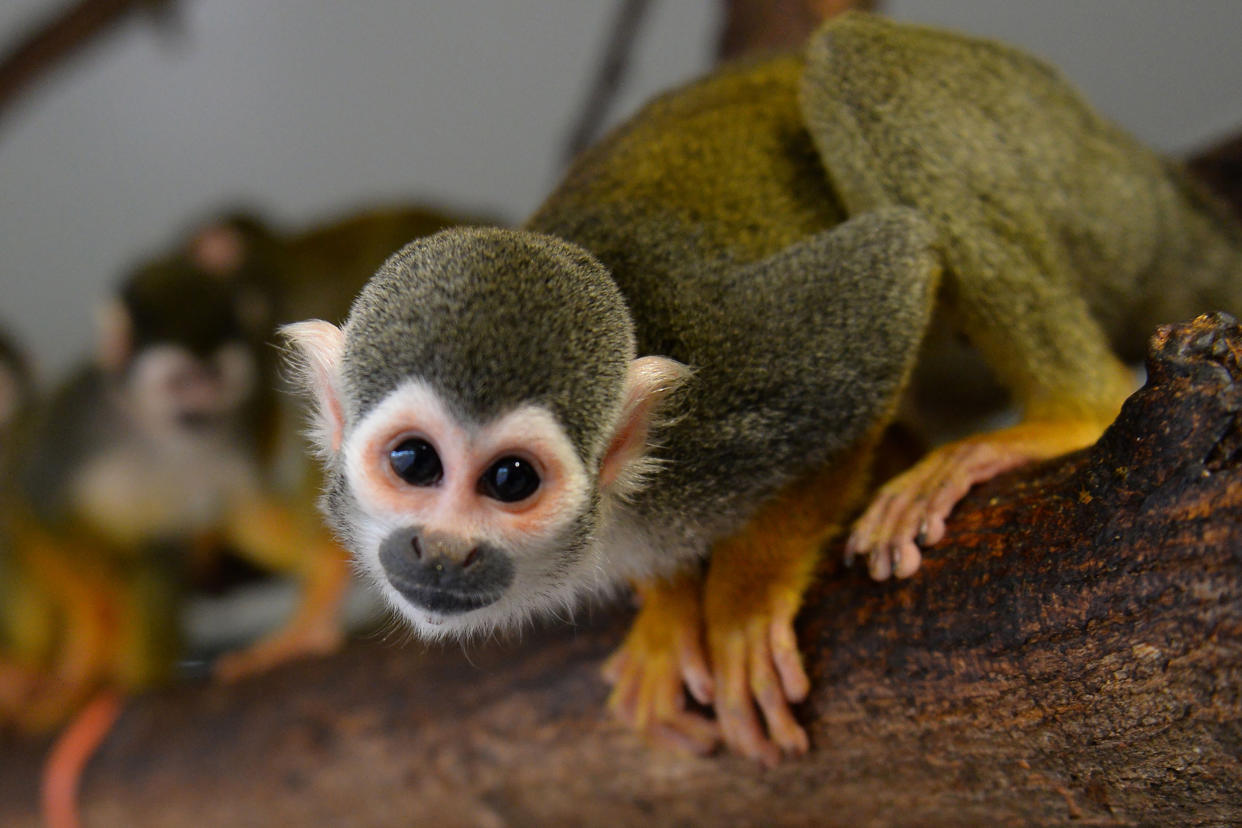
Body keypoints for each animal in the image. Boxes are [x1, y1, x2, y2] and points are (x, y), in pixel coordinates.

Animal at [281, 12, 1242, 764]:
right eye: (413, 462)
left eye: (511, 479)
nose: (440, 552)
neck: (620, 508)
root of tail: (1144, 167)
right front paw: (670, 607)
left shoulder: (728, 405)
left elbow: (892, 273)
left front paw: (744, 595)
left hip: (1089, 187)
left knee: (849, 69)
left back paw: (1067, 413)